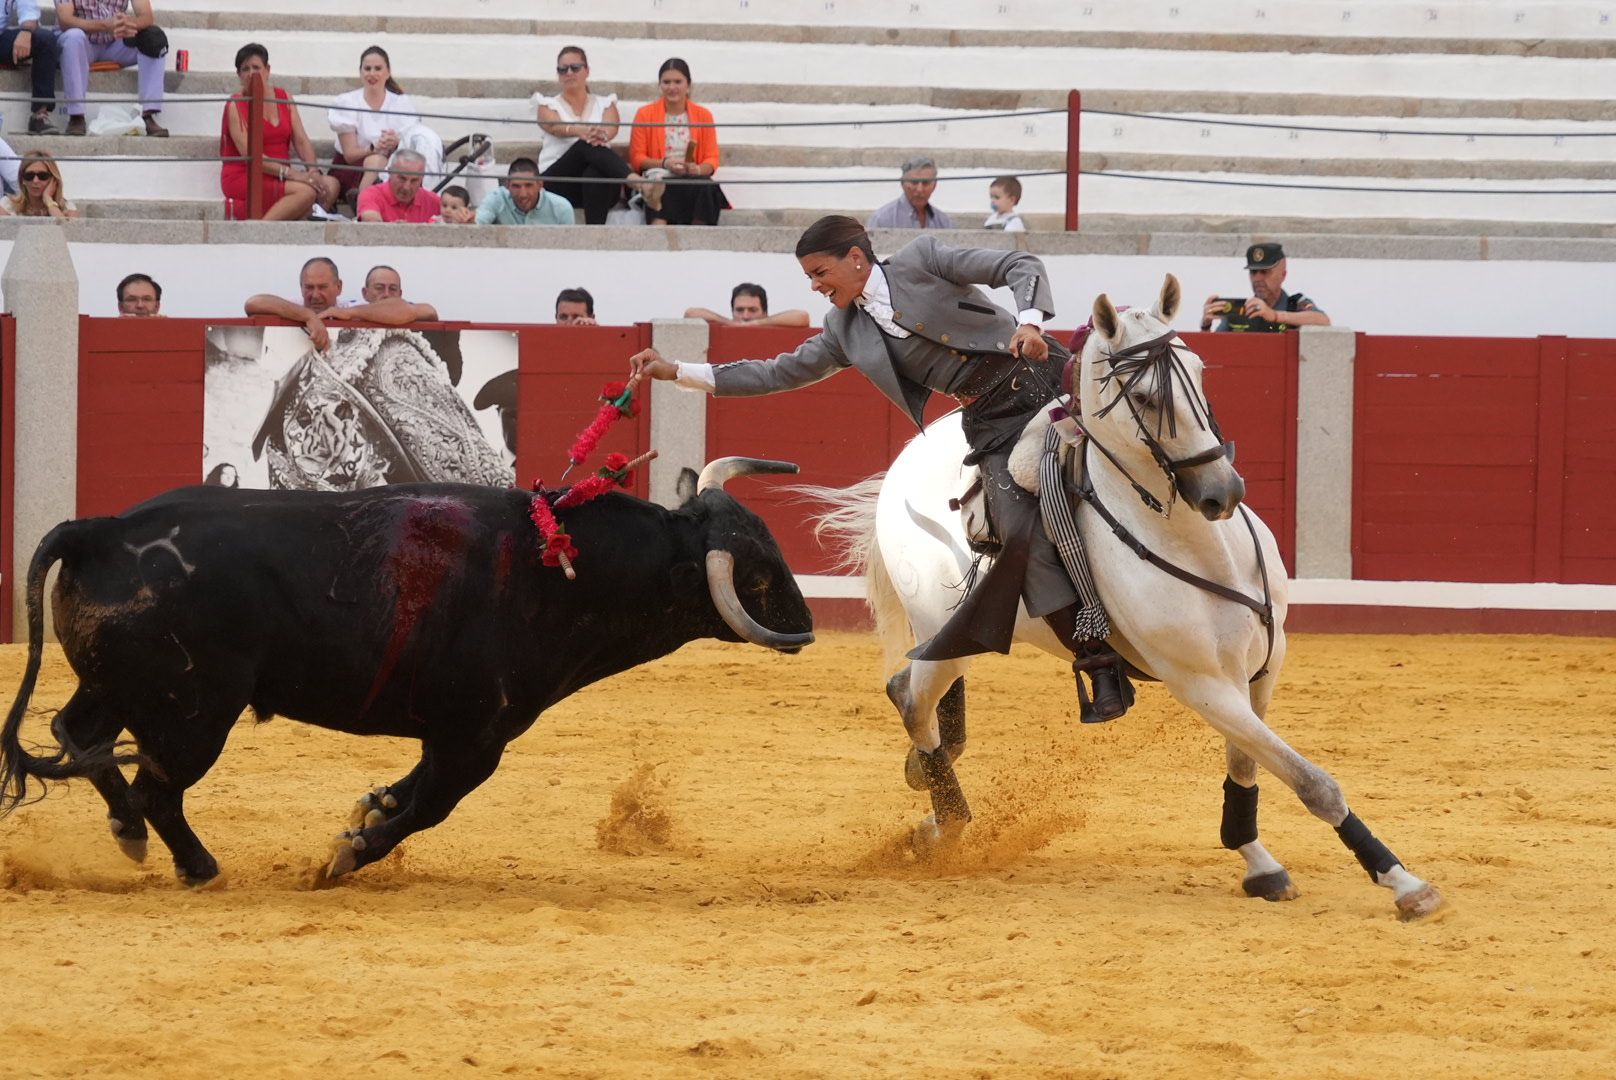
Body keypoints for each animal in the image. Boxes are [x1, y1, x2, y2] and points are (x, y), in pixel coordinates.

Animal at [0, 455, 808, 885]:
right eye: (758, 575)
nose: (803, 624)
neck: (558, 571)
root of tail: (103, 529)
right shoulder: (478, 736)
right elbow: (431, 804)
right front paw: (348, 853)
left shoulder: (454, 734)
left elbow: (408, 792)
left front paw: (364, 814)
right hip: (194, 711)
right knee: (157, 786)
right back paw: (197, 865)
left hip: (121, 688)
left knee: (81, 737)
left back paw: (127, 831)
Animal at [814, 276, 1447, 918]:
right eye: (1143, 398)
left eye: (1200, 372)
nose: (1222, 491)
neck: (1198, 547)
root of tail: (902, 464)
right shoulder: (1199, 682)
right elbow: (1311, 781)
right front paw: (1403, 882)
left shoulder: (1261, 667)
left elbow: (1249, 761)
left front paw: (1259, 863)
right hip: (951, 629)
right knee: (912, 700)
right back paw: (945, 824)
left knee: (914, 695)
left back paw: (924, 791)